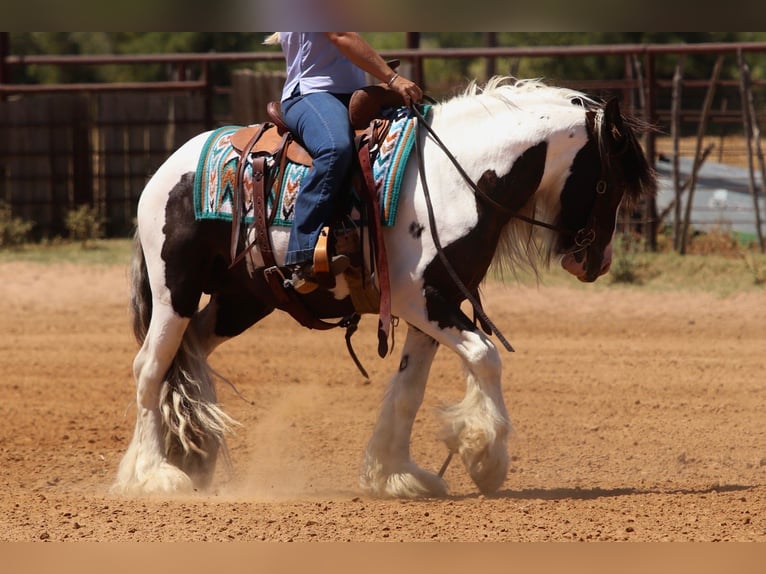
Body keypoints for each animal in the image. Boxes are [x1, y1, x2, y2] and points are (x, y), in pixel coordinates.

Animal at [112, 77, 656, 498]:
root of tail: (165, 171)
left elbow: (411, 390)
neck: (452, 180)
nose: (596, 263)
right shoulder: (422, 299)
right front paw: (486, 459)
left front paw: (396, 474)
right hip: (175, 289)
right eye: (610, 182)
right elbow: (485, 357)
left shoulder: (439, 302)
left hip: (242, 299)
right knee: (149, 368)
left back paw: (192, 457)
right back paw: (155, 475)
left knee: (190, 351)